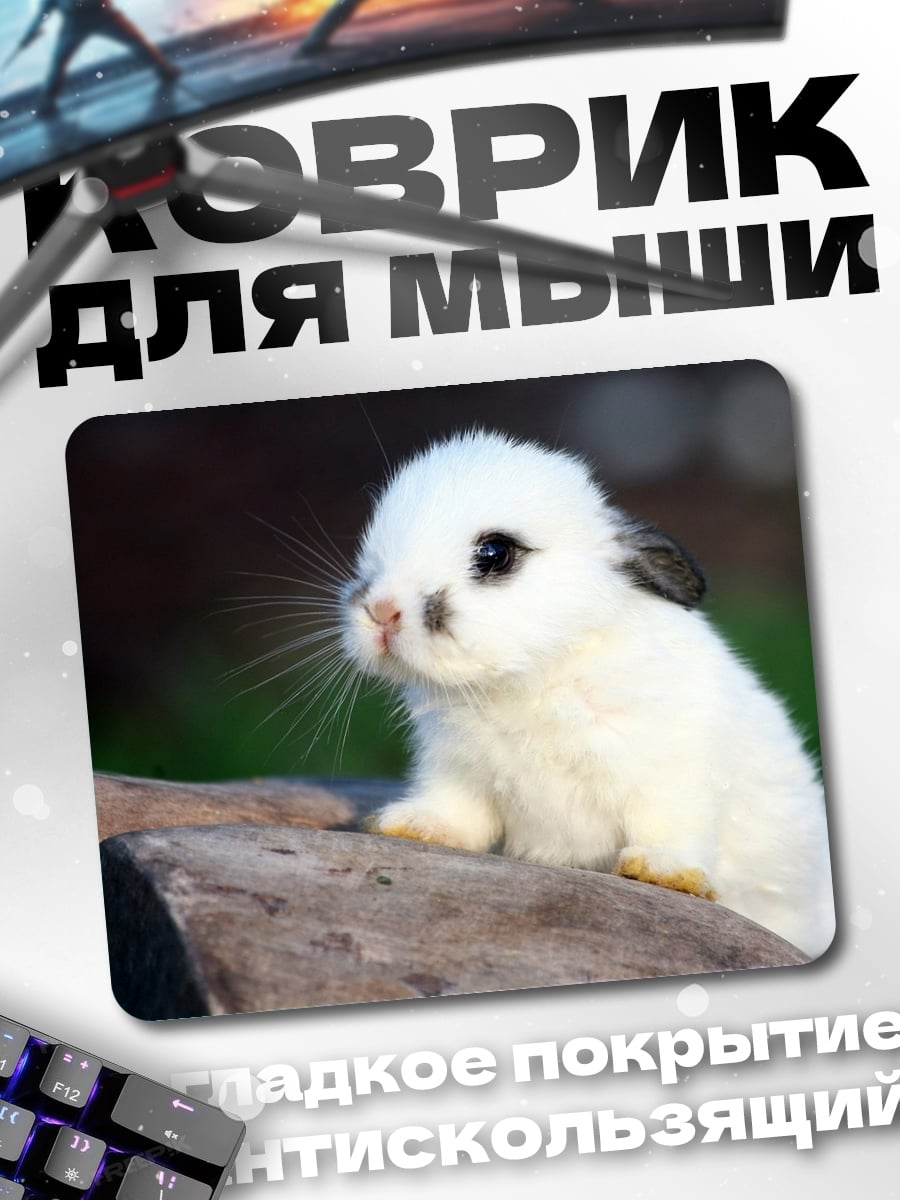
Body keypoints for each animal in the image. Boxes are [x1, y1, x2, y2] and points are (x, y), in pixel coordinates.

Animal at [340, 428, 835, 959]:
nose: (382, 610)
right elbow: (457, 813)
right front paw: (412, 826)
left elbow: (671, 823)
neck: (534, 676)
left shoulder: (673, 771)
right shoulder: (457, 771)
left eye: (495, 553)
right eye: (374, 549)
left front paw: (661, 873)